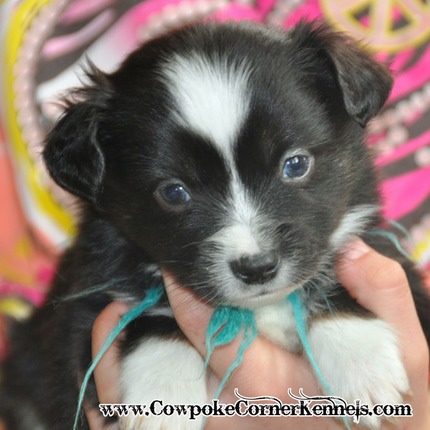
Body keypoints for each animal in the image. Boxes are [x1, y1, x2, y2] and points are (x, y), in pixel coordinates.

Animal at [0, 21, 430, 430]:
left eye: (295, 164)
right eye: (174, 192)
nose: (257, 268)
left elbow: (336, 283)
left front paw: (363, 366)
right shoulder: (80, 312)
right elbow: (148, 312)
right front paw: (163, 394)